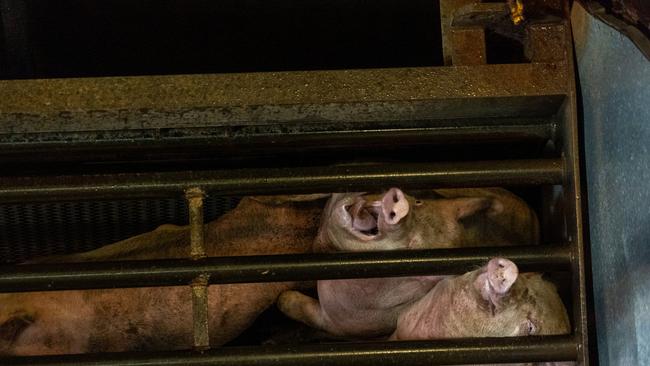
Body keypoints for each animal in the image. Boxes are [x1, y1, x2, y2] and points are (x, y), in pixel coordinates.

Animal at [278, 189, 536, 338]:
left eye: (415, 247)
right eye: (419, 201)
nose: (400, 208)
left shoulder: (343, 323)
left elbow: (300, 307)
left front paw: (283, 298)